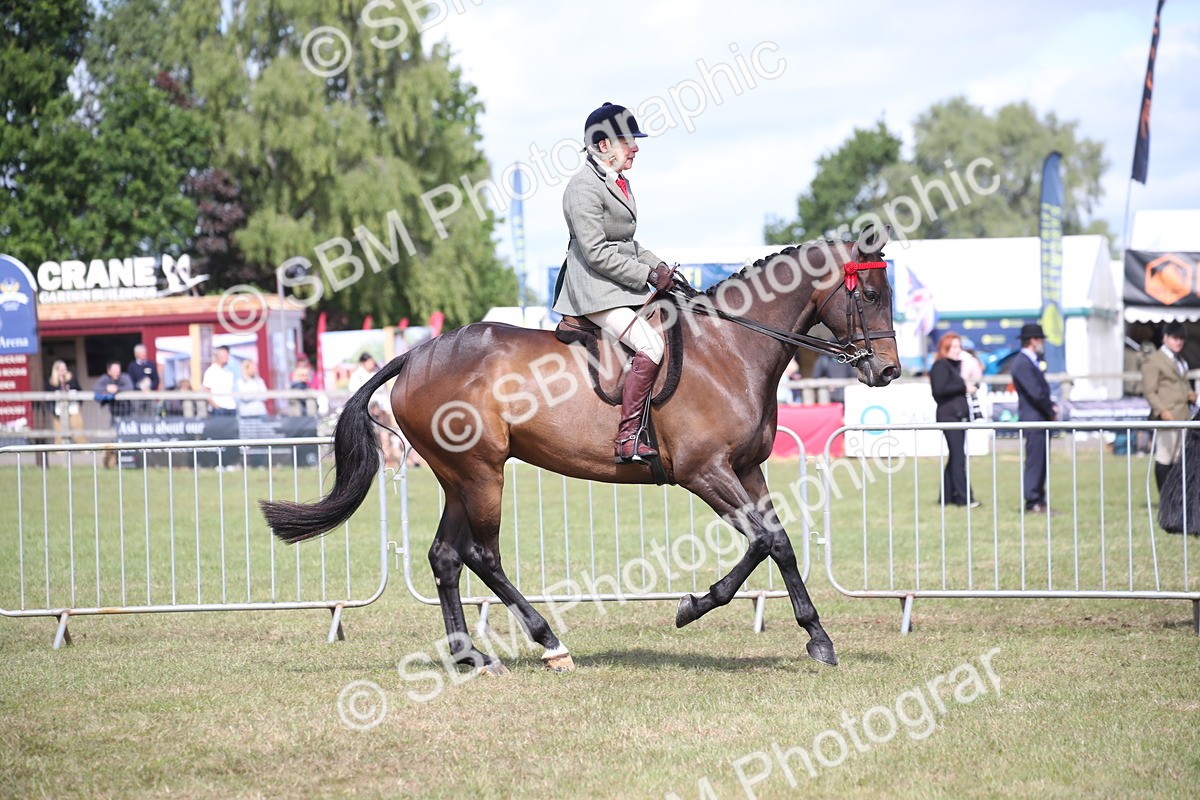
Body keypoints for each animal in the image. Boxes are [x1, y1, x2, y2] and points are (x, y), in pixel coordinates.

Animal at [261, 228, 901, 673]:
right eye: (871, 294)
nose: (890, 372)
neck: (731, 347)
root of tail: (416, 354)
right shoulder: (704, 472)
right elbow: (766, 541)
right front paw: (705, 608)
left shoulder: (745, 469)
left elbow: (777, 543)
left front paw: (807, 634)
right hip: (481, 474)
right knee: (482, 555)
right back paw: (550, 643)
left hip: (457, 477)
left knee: (445, 556)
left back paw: (470, 657)